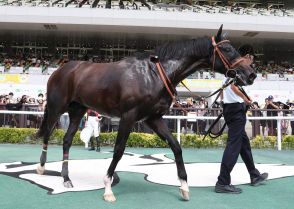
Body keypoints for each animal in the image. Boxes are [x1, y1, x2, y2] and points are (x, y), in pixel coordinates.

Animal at [36, 25, 255, 202]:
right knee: (47, 133)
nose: (251, 74)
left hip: (77, 110)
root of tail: (61, 69)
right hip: (57, 108)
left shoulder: (153, 118)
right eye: (228, 49)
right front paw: (108, 188)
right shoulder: (128, 116)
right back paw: (41, 167)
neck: (154, 74)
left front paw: (184, 187)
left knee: (66, 140)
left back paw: (66, 178)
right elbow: (119, 150)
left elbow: (176, 147)